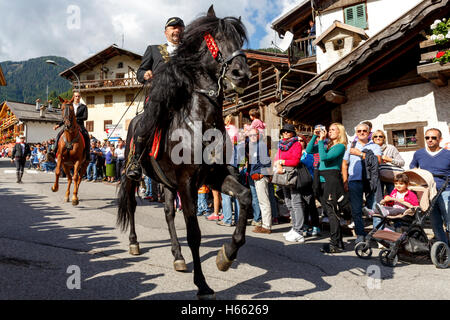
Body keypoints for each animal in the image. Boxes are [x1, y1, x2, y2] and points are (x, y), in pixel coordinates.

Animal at [118, 6, 253, 298]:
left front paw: (226, 256)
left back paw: (178, 256)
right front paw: (202, 283)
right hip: (134, 175)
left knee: (169, 213)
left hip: (167, 184)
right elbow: (194, 233)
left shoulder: (212, 178)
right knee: (132, 205)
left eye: (240, 40)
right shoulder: (188, 183)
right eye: (216, 38)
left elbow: (246, 196)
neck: (202, 122)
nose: (241, 74)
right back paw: (134, 243)